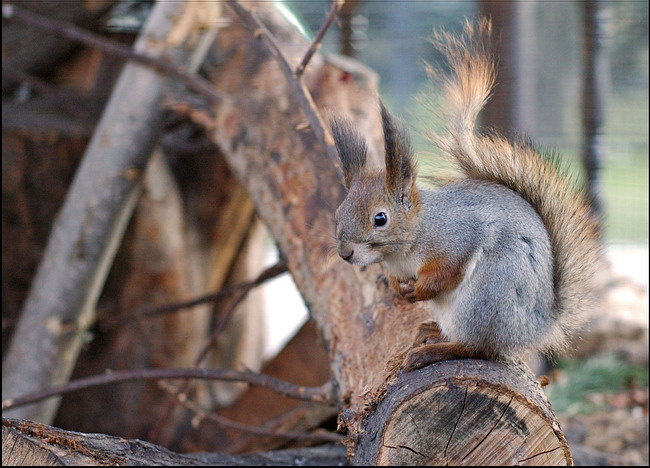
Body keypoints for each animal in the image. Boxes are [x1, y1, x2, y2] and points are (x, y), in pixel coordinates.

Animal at [330, 19, 603, 368]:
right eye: (339, 213)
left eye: (380, 219)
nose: (345, 253)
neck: (410, 243)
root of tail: (536, 327)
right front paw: (397, 289)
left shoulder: (458, 236)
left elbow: (446, 272)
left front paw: (420, 291)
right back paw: (432, 331)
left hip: (487, 295)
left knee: (480, 348)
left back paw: (434, 350)